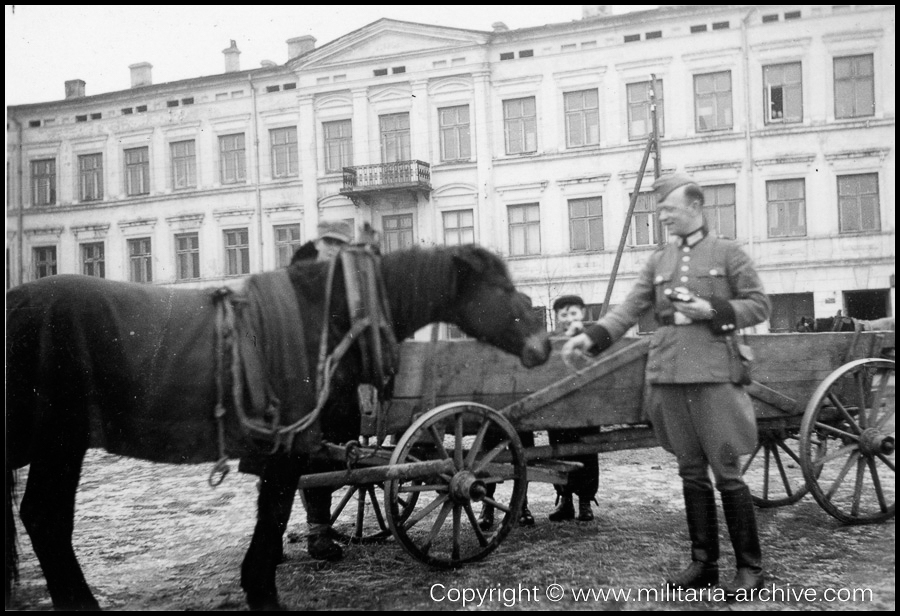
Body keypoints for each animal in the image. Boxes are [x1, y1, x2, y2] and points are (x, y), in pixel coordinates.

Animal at [7, 244, 552, 612]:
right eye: (503, 289)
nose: (543, 346)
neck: (331, 315)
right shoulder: (288, 449)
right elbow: (273, 518)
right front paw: (264, 590)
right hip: (60, 442)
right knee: (46, 520)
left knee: (40, 519)